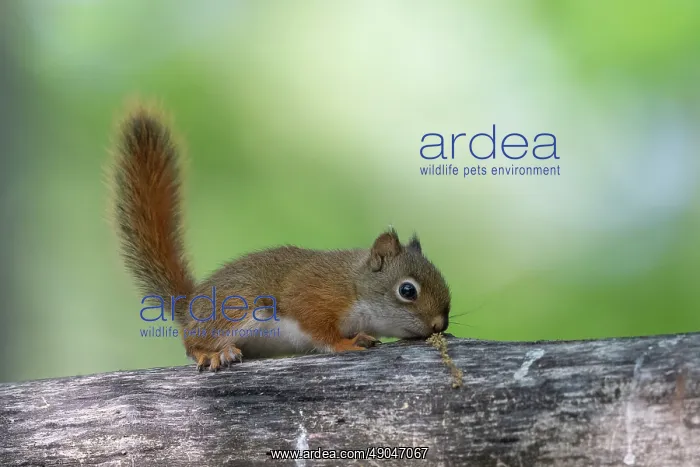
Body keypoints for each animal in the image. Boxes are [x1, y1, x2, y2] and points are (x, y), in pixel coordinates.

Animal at [111, 104, 451, 371]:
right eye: (407, 291)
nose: (440, 325)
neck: (353, 284)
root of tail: (190, 305)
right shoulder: (314, 297)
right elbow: (320, 330)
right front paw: (347, 343)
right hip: (236, 310)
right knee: (192, 341)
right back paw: (211, 353)